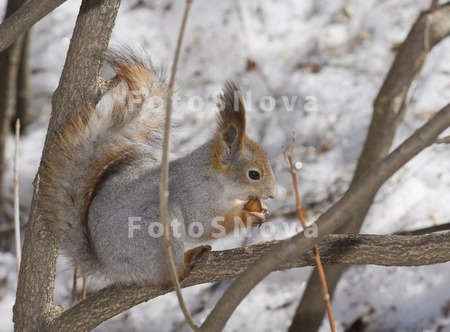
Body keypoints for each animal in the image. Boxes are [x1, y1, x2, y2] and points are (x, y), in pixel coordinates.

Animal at [43, 50, 278, 286]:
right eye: (254, 174)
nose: (273, 193)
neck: (213, 178)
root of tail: (108, 267)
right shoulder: (195, 197)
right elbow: (205, 225)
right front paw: (247, 217)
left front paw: (257, 208)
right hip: (156, 229)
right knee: (168, 275)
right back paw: (187, 260)